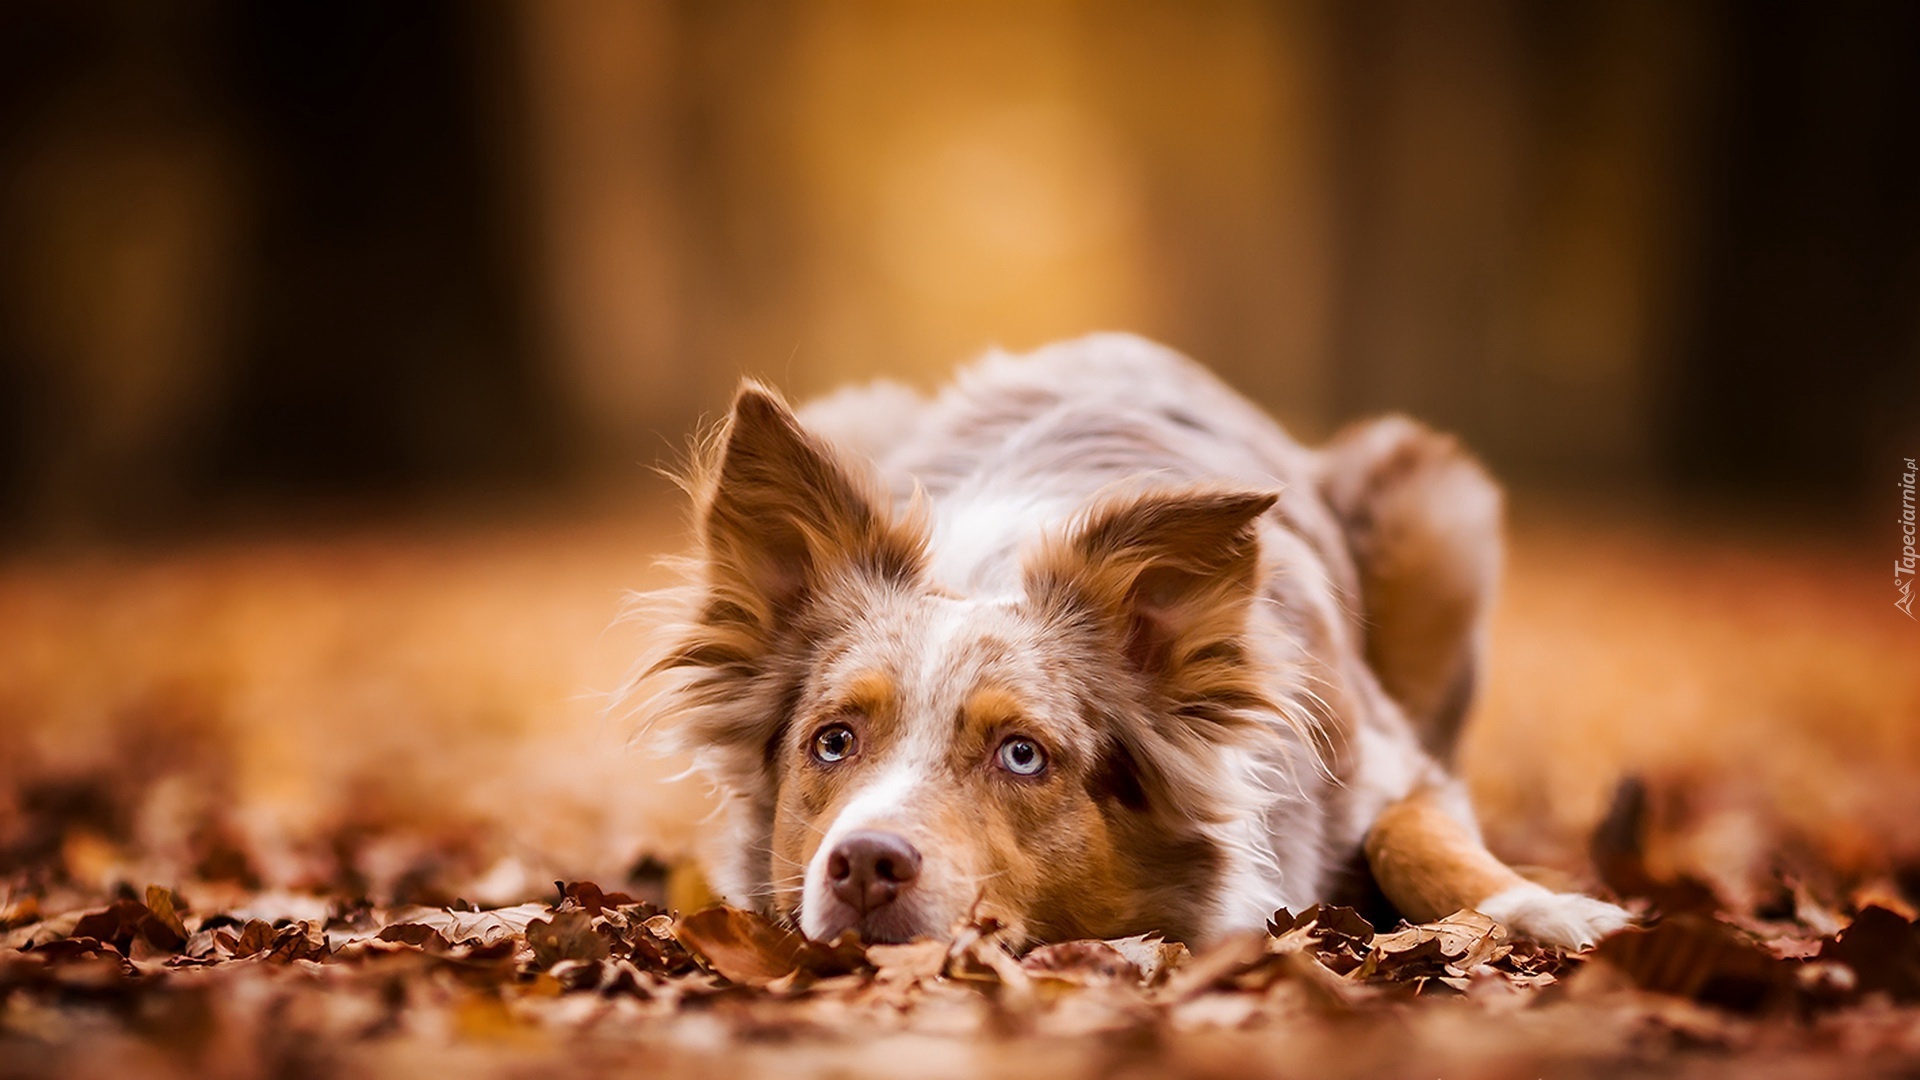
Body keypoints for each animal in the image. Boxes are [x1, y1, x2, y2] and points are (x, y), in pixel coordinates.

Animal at [633, 332, 1635, 945]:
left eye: (1023, 755)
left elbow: (1412, 838)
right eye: (832, 742)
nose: (865, 864)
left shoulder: (1395, 762)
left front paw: (1555, 913)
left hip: (1435, 504)